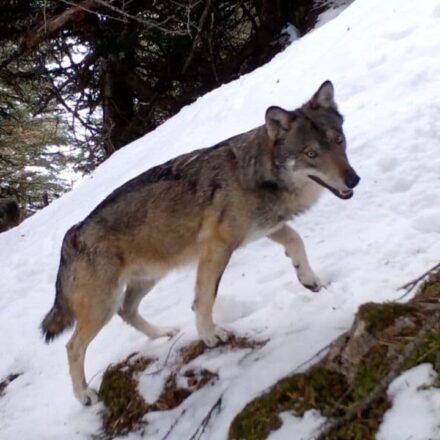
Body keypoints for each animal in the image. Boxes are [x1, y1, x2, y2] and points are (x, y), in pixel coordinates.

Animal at [41, 81, 360, 404]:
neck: (255, 174)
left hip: (145, 281)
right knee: (73, 346)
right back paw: (84, 394)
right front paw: (209, 334)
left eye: (339, 140)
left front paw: (309, 279)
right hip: (103, 305)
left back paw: (163, 333)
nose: (354, 180)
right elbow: (205, 298)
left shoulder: (264, 228)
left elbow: (296, 241)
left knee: (127, 311)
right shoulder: (218, 246)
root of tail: (72, 235)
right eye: (311, 153)